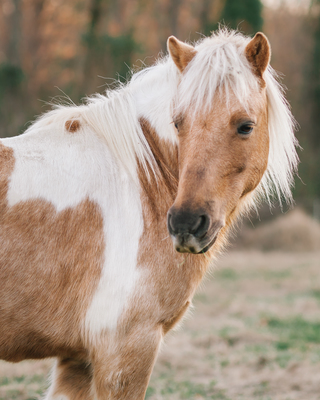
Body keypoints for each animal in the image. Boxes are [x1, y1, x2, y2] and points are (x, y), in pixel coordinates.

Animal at [0, 29, 298, 398]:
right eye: (178, 123)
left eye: (246, 126)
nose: (186, 223)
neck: (138, 182)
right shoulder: (126, 350)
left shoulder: (77, 360)